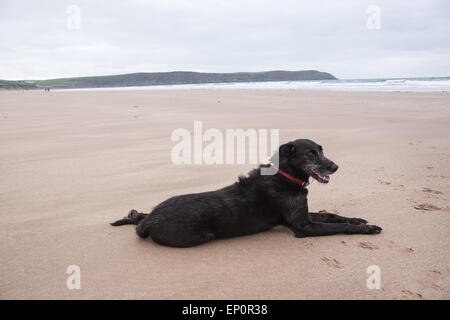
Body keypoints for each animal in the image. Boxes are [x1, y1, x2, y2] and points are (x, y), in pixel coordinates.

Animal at [110, 138, 382, 248]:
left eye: (321, 150)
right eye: (310, 154)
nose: (335, 167)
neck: (285, 176)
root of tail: (150, 222)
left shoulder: (304, 215)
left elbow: (333, 215)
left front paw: (358, 219)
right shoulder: (303, 227)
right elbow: (338, 225)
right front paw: (367, 228)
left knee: (140, 214)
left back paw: (135, 214)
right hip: (199, 236)